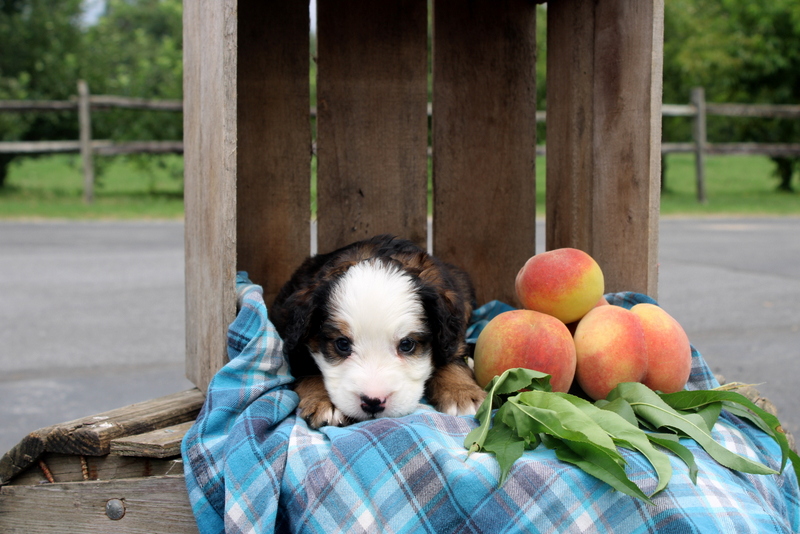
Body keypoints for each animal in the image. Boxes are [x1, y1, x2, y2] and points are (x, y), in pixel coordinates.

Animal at [270, 237, 488, 430]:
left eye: (407, 344)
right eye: (342, 344)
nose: (373, 402)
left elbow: (450, 357)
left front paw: (461, 392)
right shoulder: (293, 340)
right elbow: (309, 369)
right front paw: (324, 401)